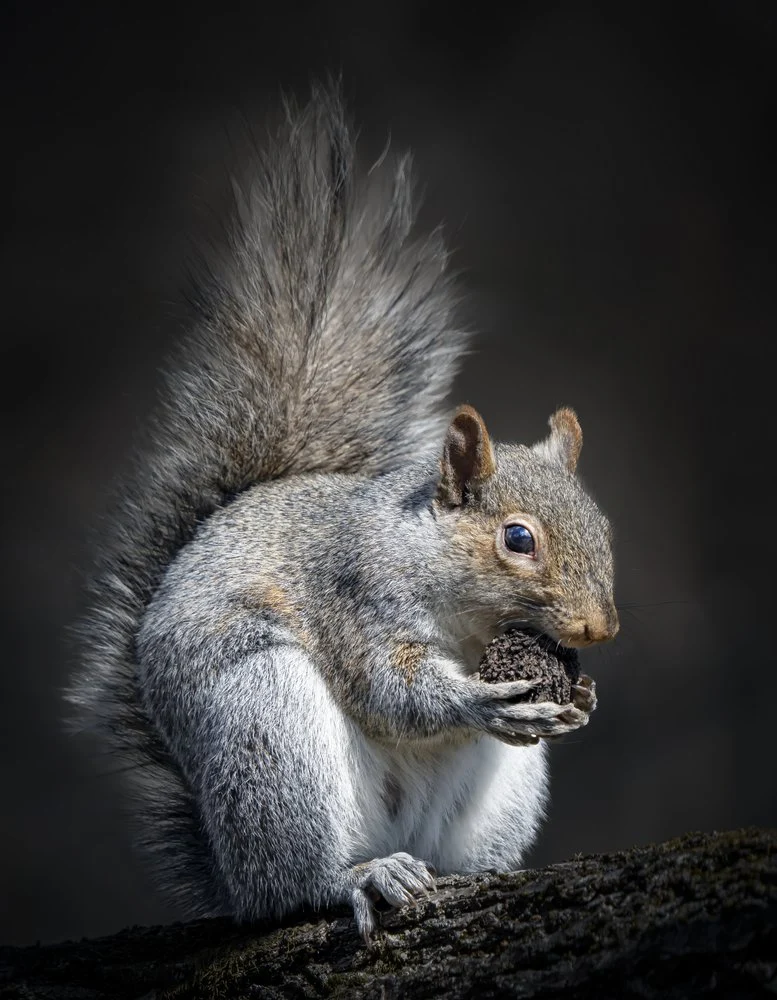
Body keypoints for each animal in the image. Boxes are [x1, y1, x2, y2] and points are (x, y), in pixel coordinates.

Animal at [67, 85, 619, 941]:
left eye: (604, 527)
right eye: (517, 539)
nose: (599, 630)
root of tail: (233, 881)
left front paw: (581, 701)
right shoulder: (356, 593)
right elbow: (391, 689)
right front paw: (472, 699)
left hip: (499, 796)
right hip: (264, 722)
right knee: (294, 883)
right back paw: (355, 877)